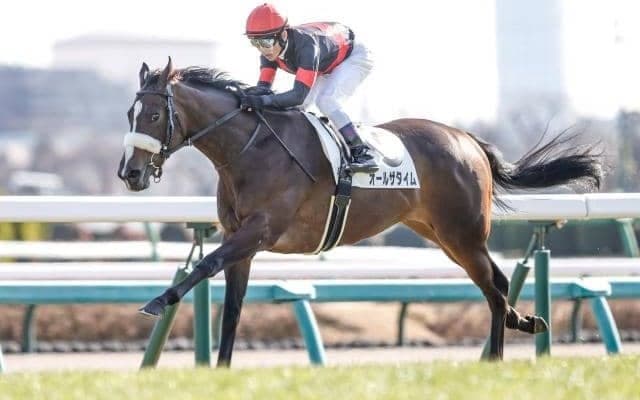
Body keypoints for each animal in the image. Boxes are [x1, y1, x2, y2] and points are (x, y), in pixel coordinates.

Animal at [118, 58, 602, 365]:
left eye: (155, 114)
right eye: (129, 113)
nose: (129, 172)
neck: (250, 150)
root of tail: (467, 140)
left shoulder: (260, 230)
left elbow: (205, 265)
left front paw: (157, 301)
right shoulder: (244, 243)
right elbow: (232, 308)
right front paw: (220, 368)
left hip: (462, 232)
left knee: (494, 288)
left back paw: (497, 357)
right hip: (442, 233)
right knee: (497, 282)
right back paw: (526, 322)